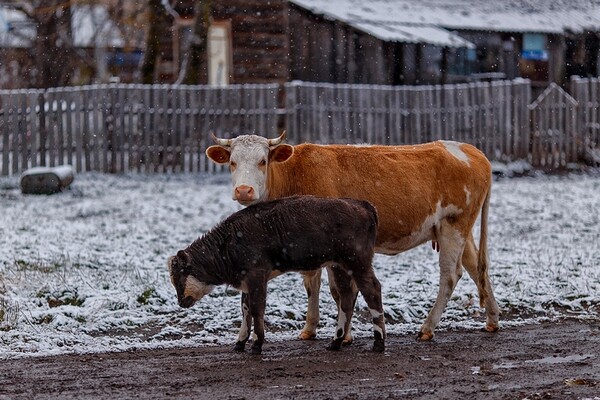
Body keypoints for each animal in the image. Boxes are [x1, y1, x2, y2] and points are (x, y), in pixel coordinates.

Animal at [168, 195, 384, 354]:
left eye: (180, 275)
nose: (180, 301)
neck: (229, 242)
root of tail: (363, 205)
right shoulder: (246, 281)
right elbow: (245, 309)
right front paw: (240, 343)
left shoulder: (257, 277)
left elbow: (257, 309)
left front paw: (257, 344)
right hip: (339, 267)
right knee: (346, 297)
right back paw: (336, 341)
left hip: (358, 263)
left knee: (372, 290)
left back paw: (379, 343)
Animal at [209, 132, 500, 340]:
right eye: (232, 162)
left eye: (263, 161)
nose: (244, 190)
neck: (293, 173)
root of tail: (472, 151)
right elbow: (314, 284)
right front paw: (313, 329)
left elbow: (336, 289)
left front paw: (342, 333)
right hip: (458, 229)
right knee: (477, 268)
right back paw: (493, 320)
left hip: (454, 225)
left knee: (450, 275)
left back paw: (427, 328)